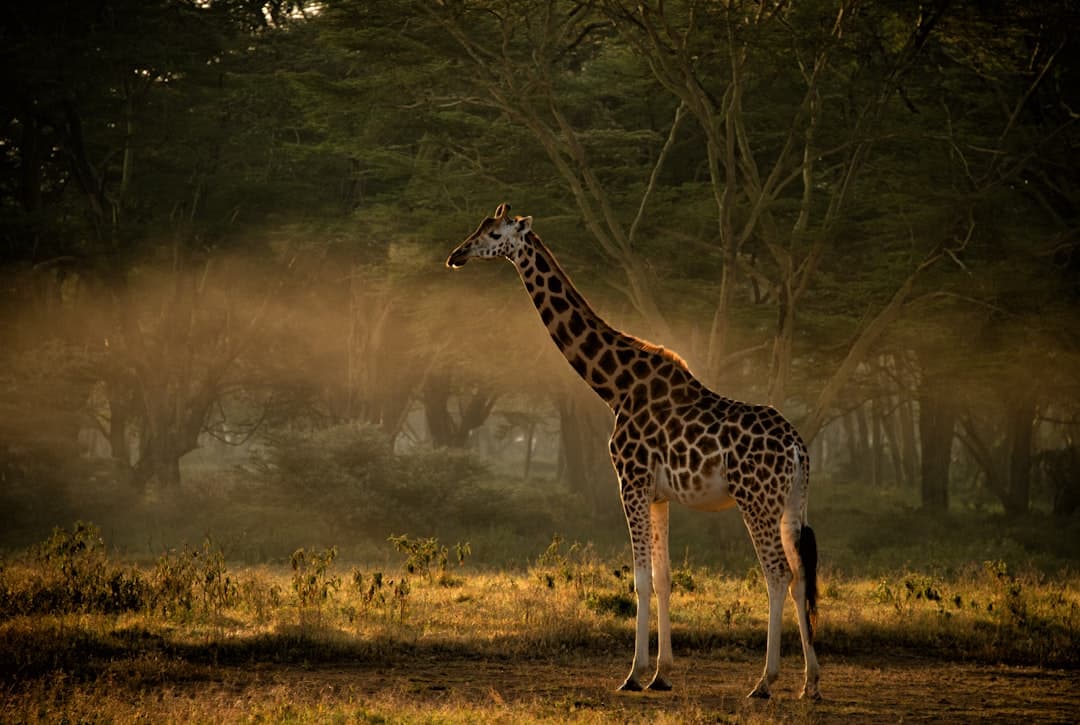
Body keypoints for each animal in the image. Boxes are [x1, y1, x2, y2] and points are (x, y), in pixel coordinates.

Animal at [446, 203, 821, 700]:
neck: (615, 387)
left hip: (755, 500)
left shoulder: (631, 481)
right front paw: (662, 674)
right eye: (479, 227)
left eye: (493, 233)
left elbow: (640, 579)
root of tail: (798, 448)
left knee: (778, 574)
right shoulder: (659, 494)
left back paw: (765, 681)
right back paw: (811, 683)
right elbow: (663, 579)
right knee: (801, 576)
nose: (456, 255)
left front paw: (633, 674)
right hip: (790, 502)